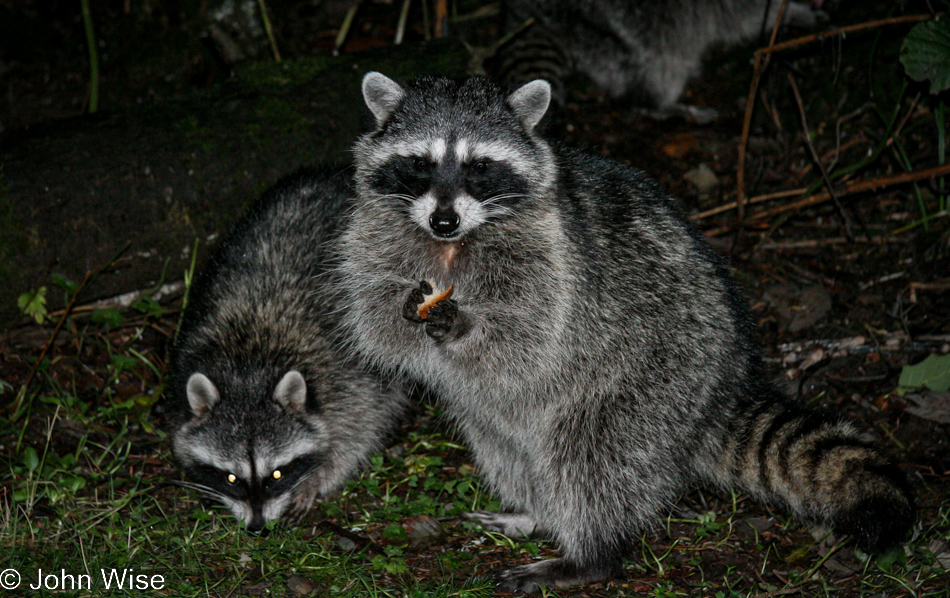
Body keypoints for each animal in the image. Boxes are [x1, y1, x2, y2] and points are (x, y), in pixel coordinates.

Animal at [167, 169, 406, 536]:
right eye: (232, 478)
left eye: (277, 474)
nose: (257, 528)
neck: (248, 364)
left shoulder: (349, 378)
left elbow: (358, 431)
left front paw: (317, 478)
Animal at [338, 72, 920, 592]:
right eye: (419, 164)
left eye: (480, 166)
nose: (443, 220)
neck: (452, 246)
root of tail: (727, 381)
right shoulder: (375, 235)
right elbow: (375, 322)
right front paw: (405, 310)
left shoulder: (554, 259)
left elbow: (531, 337)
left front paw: (464, 325)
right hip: (515, 412)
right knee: (506, 444)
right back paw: (534, 510)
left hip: (656, 376)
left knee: (595, 458)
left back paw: (590, 554)